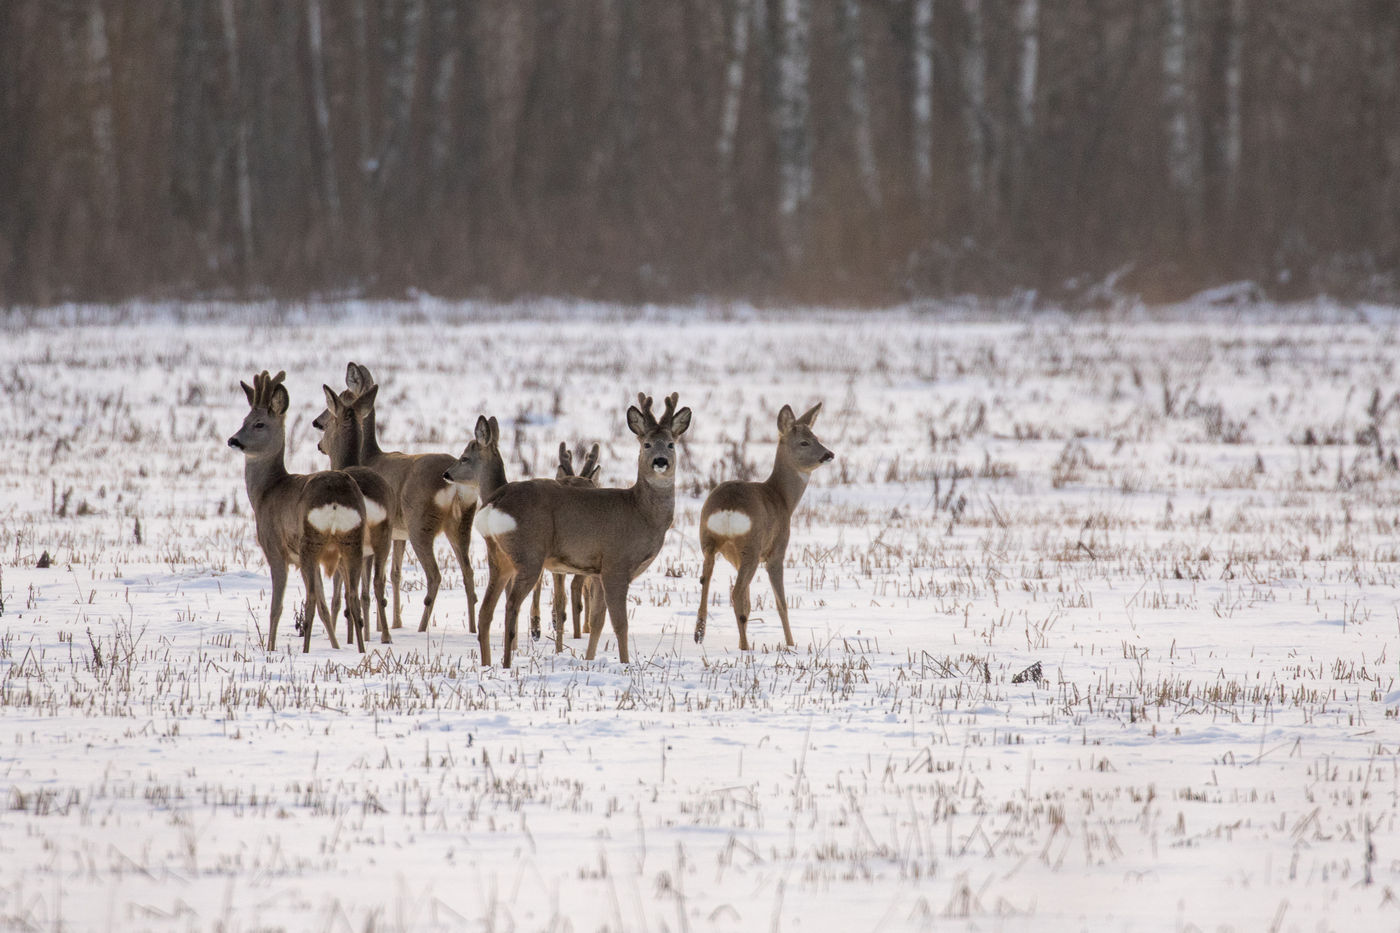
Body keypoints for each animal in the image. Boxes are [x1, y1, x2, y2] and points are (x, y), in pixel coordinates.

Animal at [226, 367, 366, 650]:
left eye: (259, 423)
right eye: (244, 419)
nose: (233, 440)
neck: (267, 491)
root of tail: (336, 498)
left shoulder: (275, 549)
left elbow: (276, 608)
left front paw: (269, 648)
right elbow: (326, 605)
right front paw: (336, 646)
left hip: (309, 543)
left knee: (312, 599)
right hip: (351, 540)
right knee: (351, 597)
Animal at [317, 381, 394, 644]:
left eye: (326, 423)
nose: (320, 445)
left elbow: (339, 594)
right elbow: (366, 591)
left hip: (347, 540)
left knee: (349, 593)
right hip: (384, 537)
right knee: (379, 584)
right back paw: (386, 637)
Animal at [478, 389, 691, 664]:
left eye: (671, 444)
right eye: (646, 444)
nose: (661, 461)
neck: (641, 512)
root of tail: (496, 499)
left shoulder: (598, 572)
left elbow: (597, 620)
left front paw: (590, 660)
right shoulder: (616, 563)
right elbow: (620, 623)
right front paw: (625, 663)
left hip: (498, 555)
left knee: (486, 609)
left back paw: (487, 663)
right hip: (529, 554)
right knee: (511, 605)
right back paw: (506, 662)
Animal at [691, 403, 828, 650]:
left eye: (817, 437)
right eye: (805, 442)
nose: (829, 454)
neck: (782, 498)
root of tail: (728, 507)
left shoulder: (735, 558)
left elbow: (748, 602)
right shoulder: (777, 551)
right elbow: (781, 602)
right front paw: (790, 643)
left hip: (709, 540)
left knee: (706, 580)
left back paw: (700, 633)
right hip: (751, 547)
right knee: (736, 592)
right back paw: (745, 647)